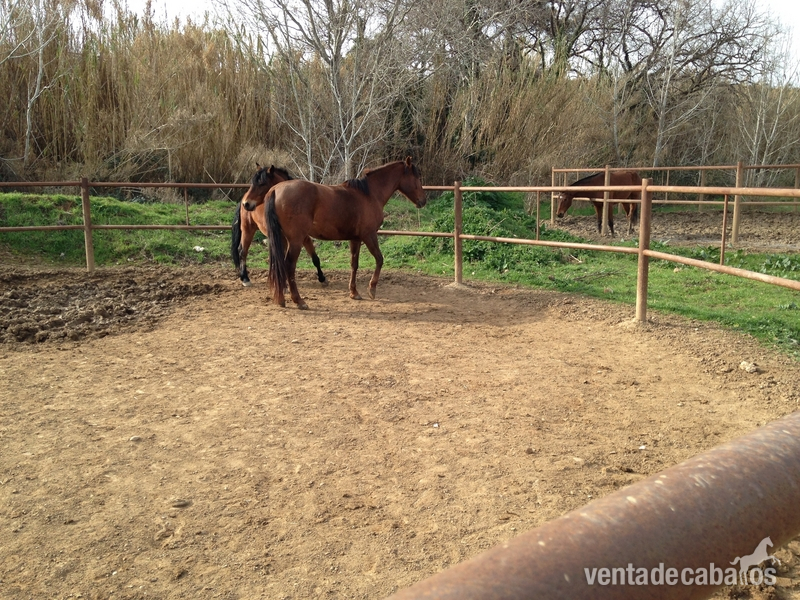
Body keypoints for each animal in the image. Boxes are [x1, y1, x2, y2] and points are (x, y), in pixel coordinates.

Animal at [263, 157, 426, 309]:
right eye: (417, 177)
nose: (423, 201)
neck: (369, 194)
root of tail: (275, 190)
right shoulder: (369, 235)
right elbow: (379, 259)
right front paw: (372, 289)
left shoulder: (355, 239)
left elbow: (354, 264)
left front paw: (354, 293)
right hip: (296, 240)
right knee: (289, 266)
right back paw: (299, 301)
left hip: (282, 239)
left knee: (279, 265)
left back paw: (281, 298)